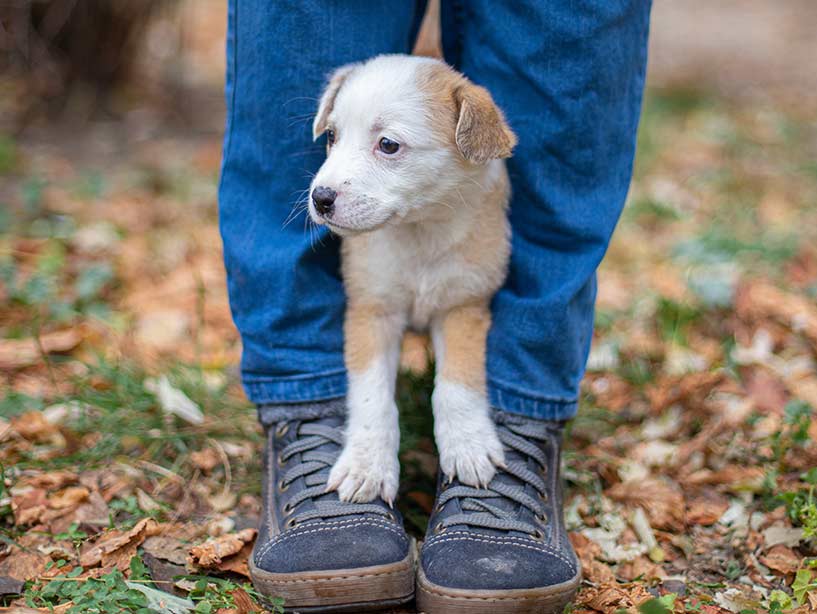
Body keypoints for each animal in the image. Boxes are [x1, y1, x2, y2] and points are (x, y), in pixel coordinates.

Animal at [308, 54, 516, 506]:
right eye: (332, 135)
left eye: (388, 145)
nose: (320, 198)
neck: (421, 232)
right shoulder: (371, 310)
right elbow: (372, 397)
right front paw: (366, 467)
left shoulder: (463, 306)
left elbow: (457, 386)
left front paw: (468, 446)